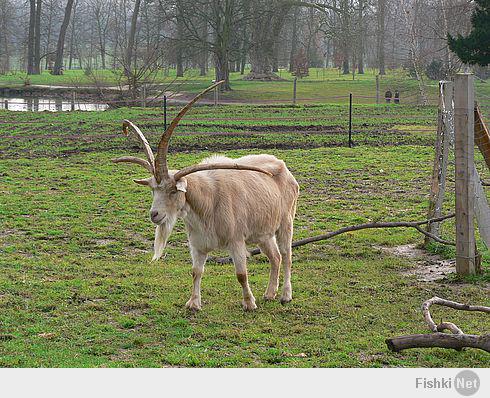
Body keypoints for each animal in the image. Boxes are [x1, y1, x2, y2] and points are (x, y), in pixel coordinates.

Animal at [113, 81, 298, 310]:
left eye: (173, 190)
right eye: (153, 189)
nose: (154, 215)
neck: (208, 201)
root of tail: (283, 167)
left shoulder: (236, 241)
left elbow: (241, 274)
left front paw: (249, 304)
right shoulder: (197, 245)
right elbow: (196, 271)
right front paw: (193, 303)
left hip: (285, 224)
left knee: (287, 256)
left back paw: (285, 295)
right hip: (263, 233)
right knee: (275, 258)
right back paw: (270, 293)